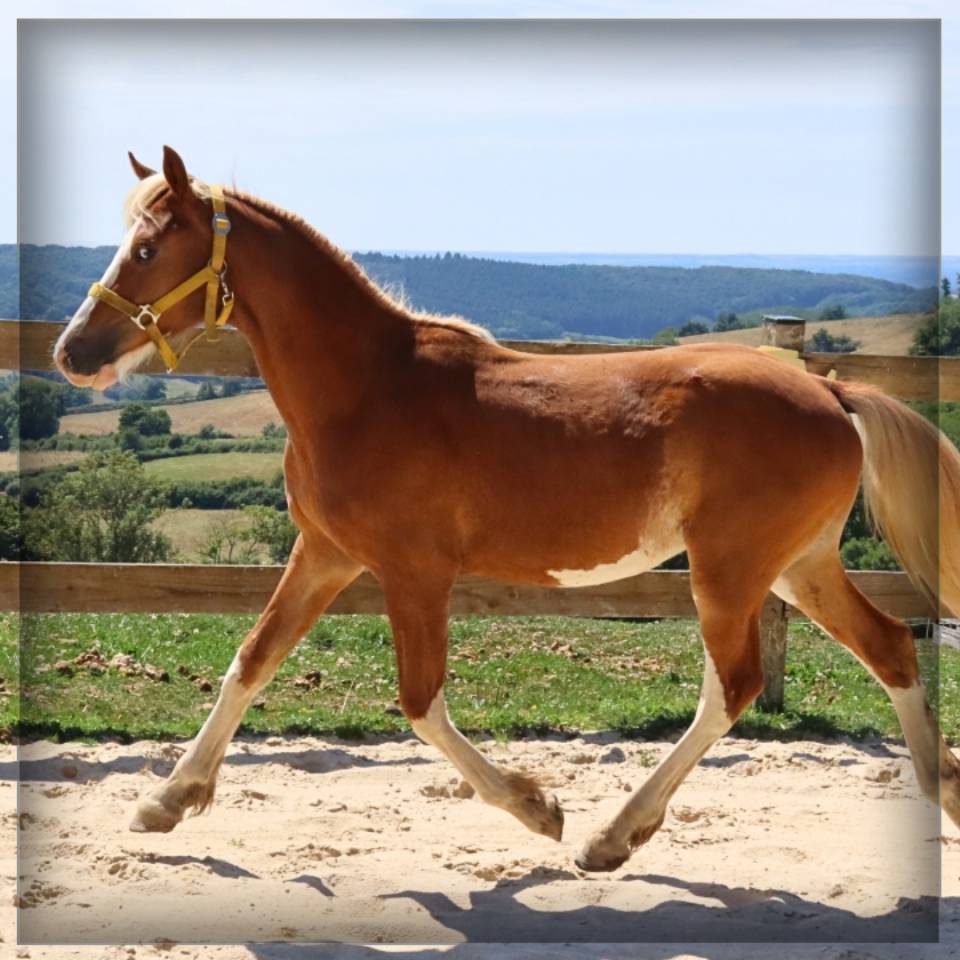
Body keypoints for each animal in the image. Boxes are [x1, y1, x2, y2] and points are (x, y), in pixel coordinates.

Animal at [54, 146, 960, 872]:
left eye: (146, 248)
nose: (73, 353)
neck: (366, 390)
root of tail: (830, 392)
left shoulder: (414, 573)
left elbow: (420, 705)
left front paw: (540, 808)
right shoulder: (325, 554)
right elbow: (251, 661)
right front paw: (164, 802)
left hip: (732, 569)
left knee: (734, 686)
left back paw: (610, 837)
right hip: (796, 565)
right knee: (886, 648)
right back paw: (942, 787)